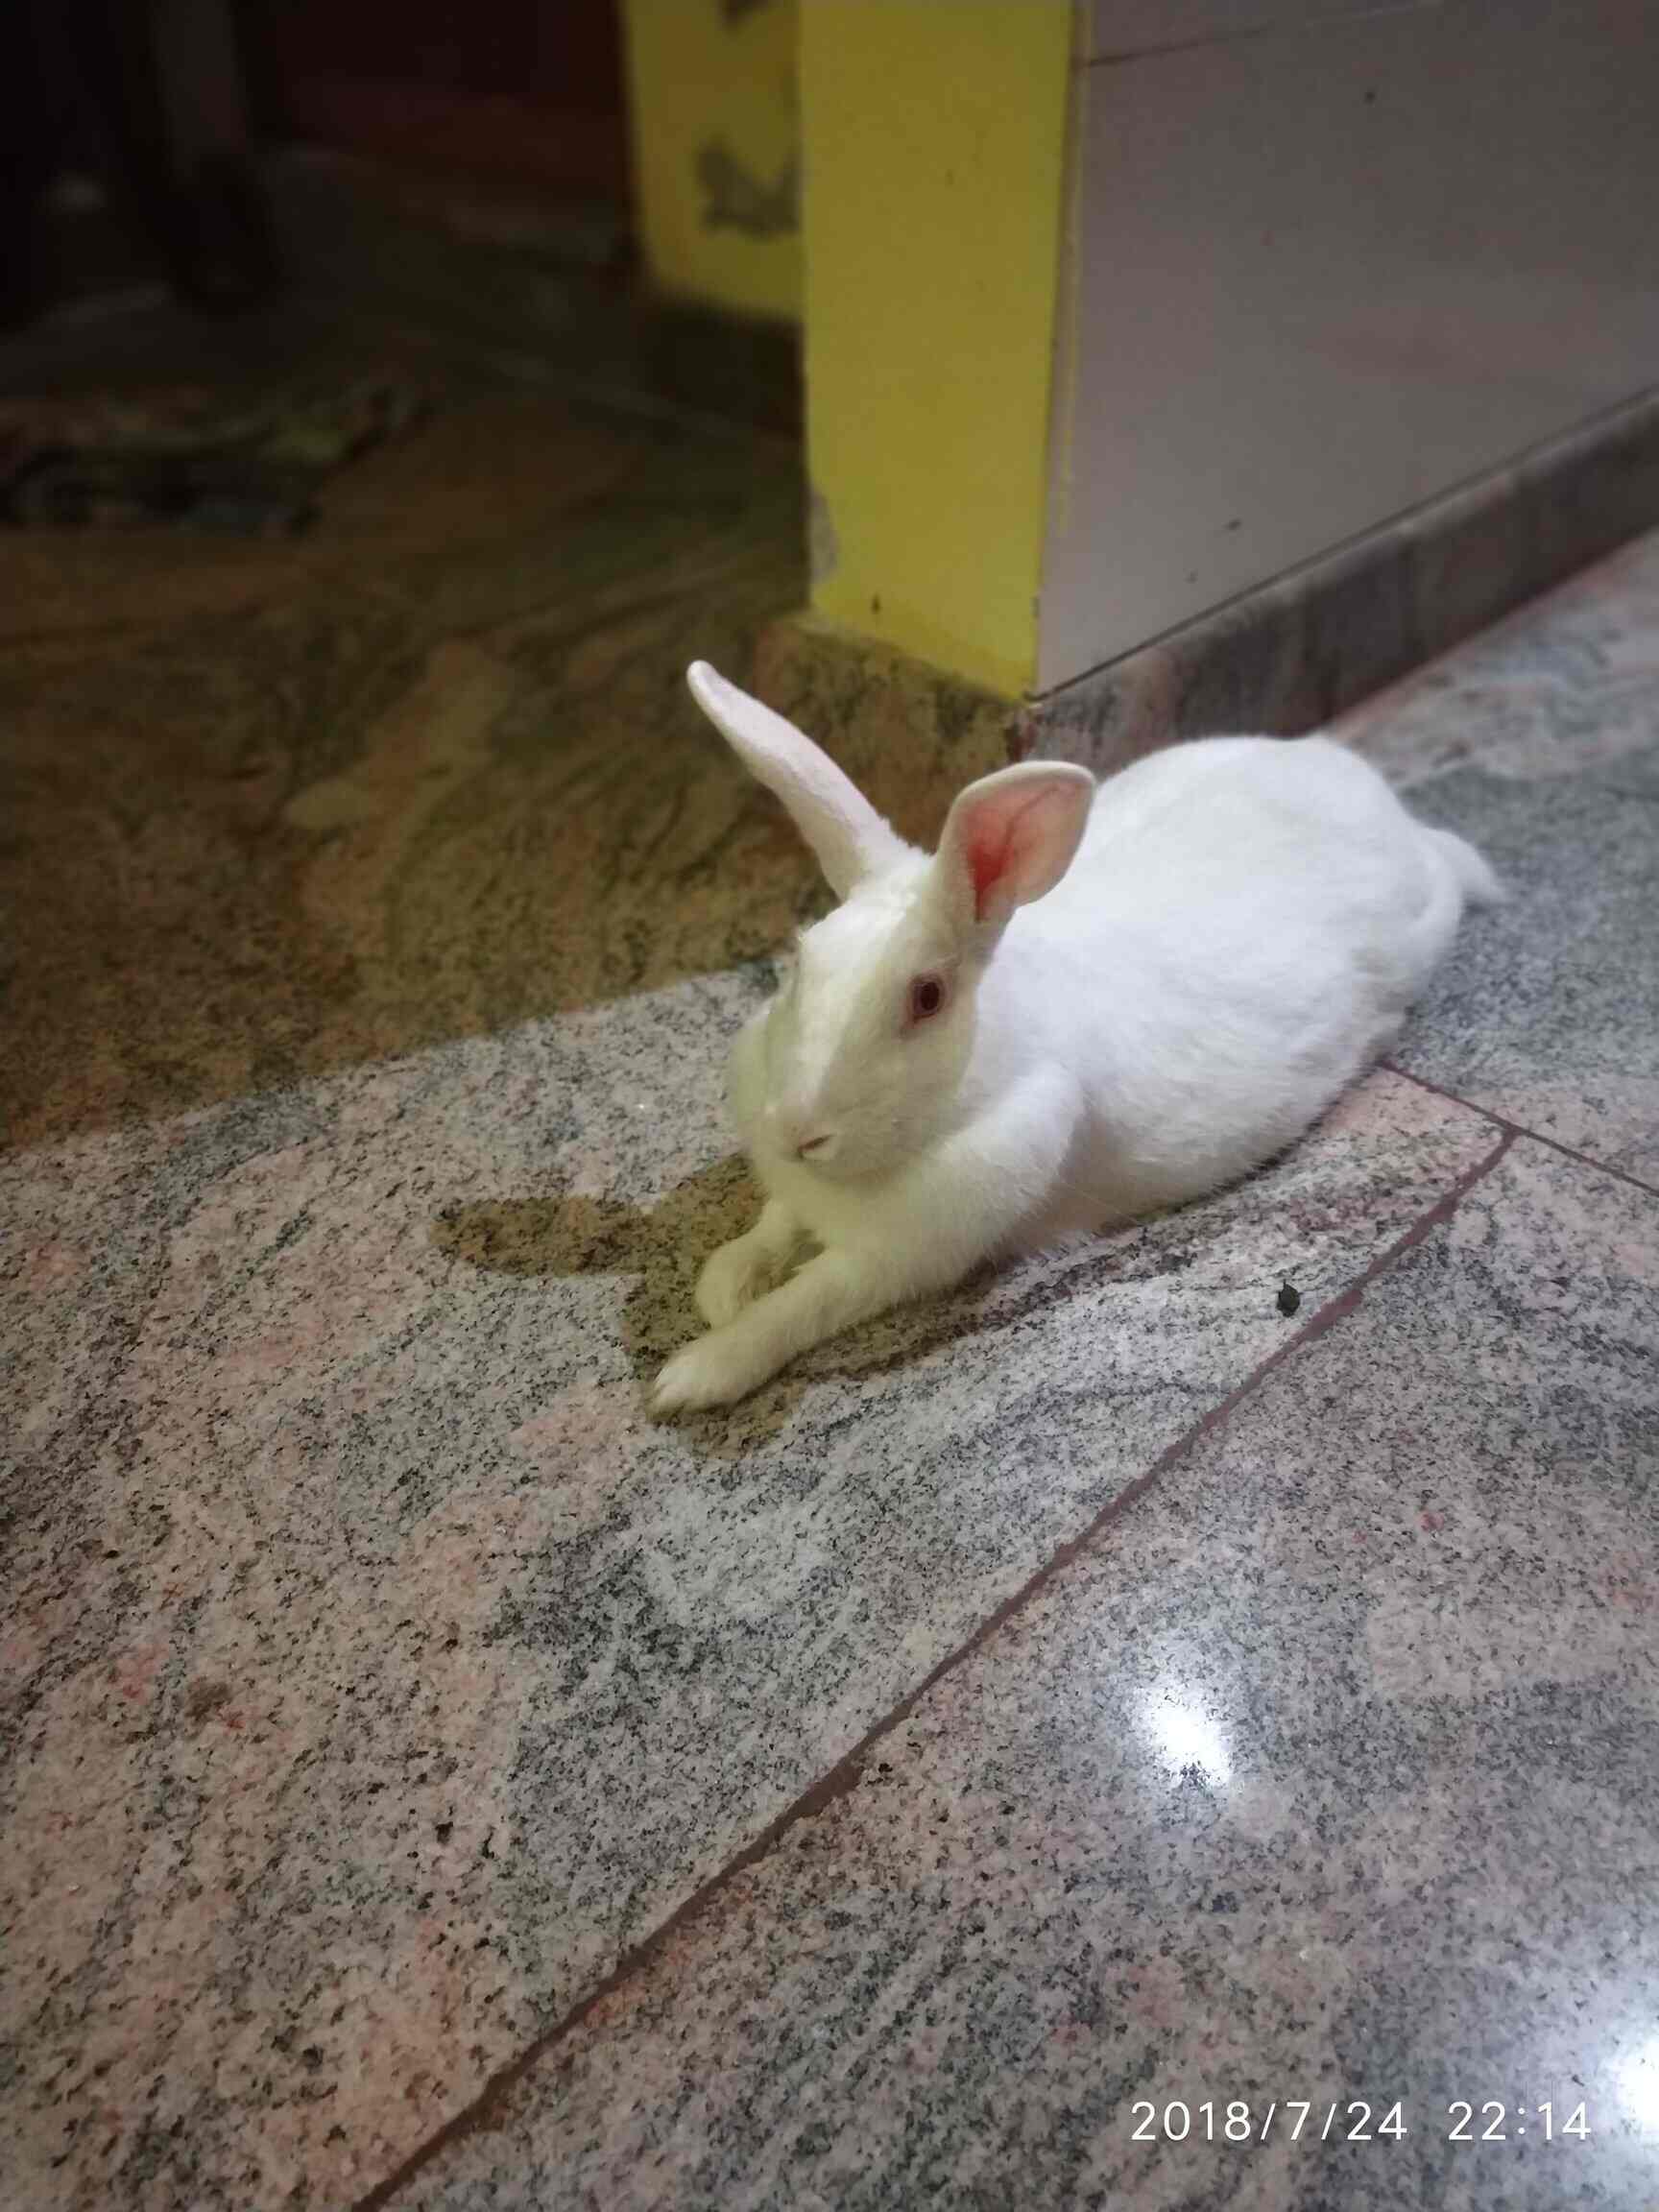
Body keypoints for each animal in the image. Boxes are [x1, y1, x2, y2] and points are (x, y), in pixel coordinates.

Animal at [651, 660, 1499, 1414]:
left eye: (927, 997)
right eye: (801, 957)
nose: (799, 1132)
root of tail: (1375, 794)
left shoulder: (901, 1257)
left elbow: (803, 1305)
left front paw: (693, 1373)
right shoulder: (801, 1197)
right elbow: (773, 1225)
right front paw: (723, 1282)